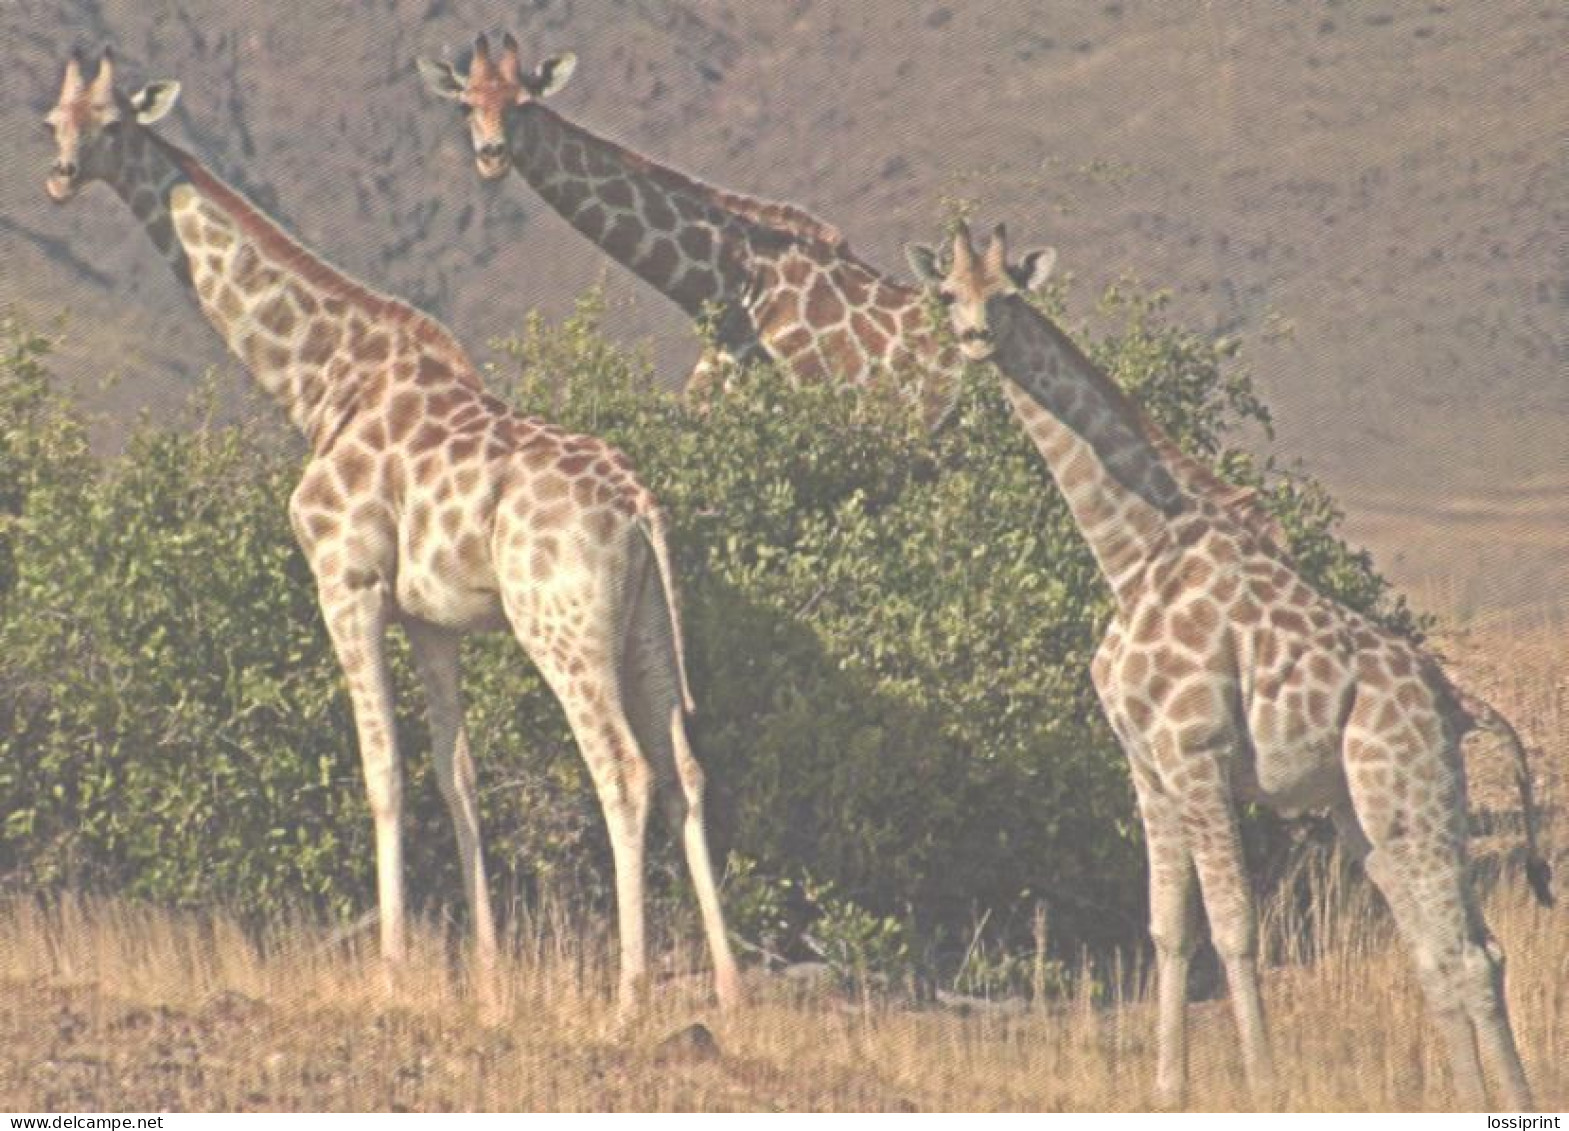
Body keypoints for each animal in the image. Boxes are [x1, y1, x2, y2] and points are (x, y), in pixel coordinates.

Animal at [39, 48, 740, 1010]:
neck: (323, 383)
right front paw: (485, 970)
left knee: (623, 771)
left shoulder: (347, 582)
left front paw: (393, 965)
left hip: (561, 630)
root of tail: (640, 508)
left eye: (111, 124)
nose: (61, 175)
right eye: (52, 120)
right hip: (644, 630)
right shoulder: (431, 619)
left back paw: (630, 994)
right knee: (685, 773)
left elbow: (384, 774)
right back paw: (731, 989)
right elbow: (458, 777)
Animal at [910, 222, 1556, 1110]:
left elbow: (1233, 924)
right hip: (1367, 814)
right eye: (948, 293)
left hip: (1410, 797)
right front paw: (1166, 1086)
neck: (1130, 551)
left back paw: (1514, 1105)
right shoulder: (1147, 767)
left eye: (1006, 293)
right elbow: (1166, 925)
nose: (975, 338)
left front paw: (1263, 1084)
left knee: (1468, 952)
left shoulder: (1199, 754)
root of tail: (1457, 702)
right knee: (1442, 953)